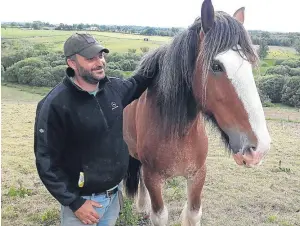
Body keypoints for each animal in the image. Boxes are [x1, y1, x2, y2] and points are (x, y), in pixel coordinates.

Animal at [122, 0, 272, 225]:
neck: (178, 132)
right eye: (216, 65)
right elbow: (159, 214)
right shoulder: (153, 178)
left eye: (249, 64)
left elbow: (193, 213)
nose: (258, 148)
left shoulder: (198, 175)